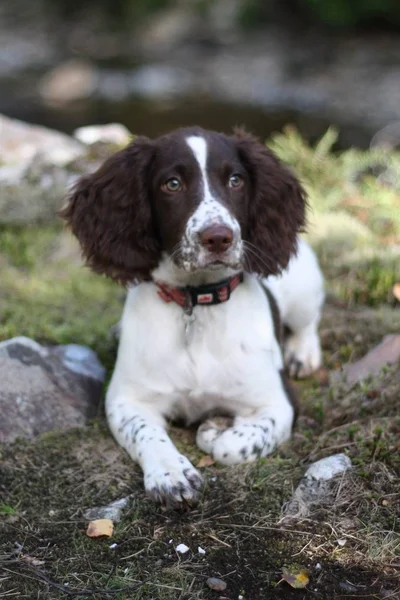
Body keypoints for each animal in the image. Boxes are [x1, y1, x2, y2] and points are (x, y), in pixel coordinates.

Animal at [62, 125, 324, 506]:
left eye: (235, 180)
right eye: (172, 184)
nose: (218, 238)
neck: (196, 304)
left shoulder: (277, 403)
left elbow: (231, 446)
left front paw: (214, 429)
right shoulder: (126, 400)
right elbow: (146, 434)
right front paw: (171, 474)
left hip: (305, 287)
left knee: (308, 322)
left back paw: (303, 354)